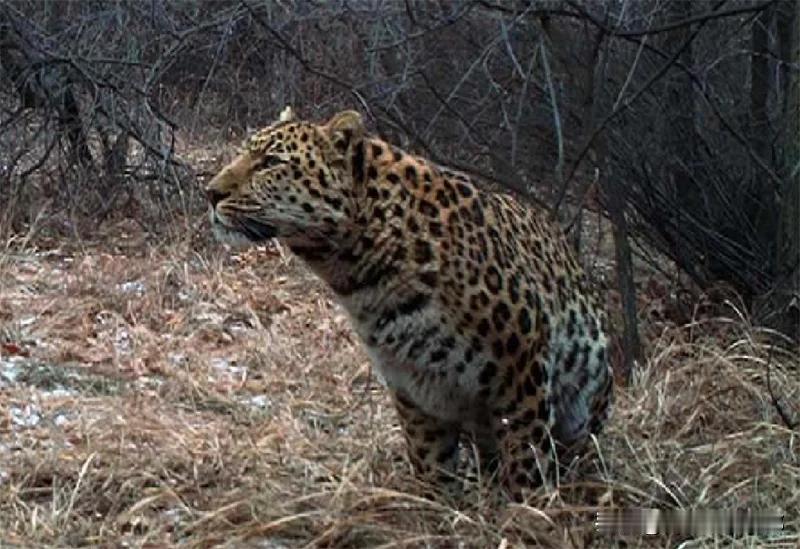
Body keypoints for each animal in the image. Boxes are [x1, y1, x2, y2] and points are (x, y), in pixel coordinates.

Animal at [205, 105, 612, 498]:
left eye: (271, 162)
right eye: (245, 152)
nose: (211, 192)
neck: (361, 272)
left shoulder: (521, 375)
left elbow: (526, 462)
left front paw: (527, 511)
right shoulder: (414, 386)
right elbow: (432, 464)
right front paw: (438, 508)